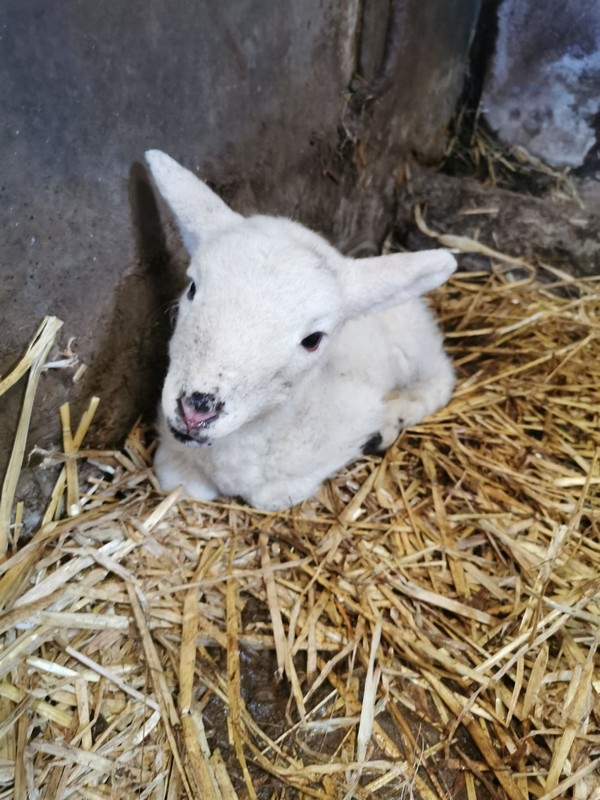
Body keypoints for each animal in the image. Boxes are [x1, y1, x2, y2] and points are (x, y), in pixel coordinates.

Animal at [145, 150, 456, 510]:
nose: (196, 411)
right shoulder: (176, 461)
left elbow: (272, 495)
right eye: (192, 288)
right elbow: (180, 481)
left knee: (440, 380)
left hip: (414, 348)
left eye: (313, 340)